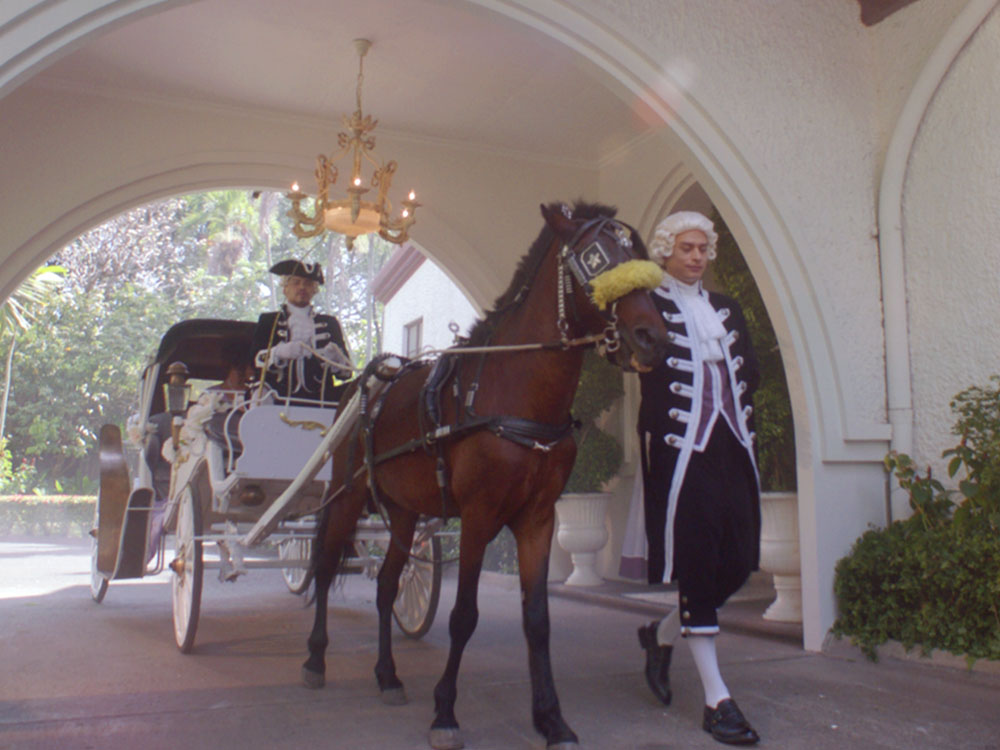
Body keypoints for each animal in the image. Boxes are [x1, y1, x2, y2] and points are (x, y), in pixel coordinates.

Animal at [300, 201, 668, 750]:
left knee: (386, 585)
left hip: (404, 511)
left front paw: (551, 718)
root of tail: (363, 386)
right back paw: (316, 658)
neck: (516, 397)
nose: (653, 337)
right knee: (325, 569)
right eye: (595, 257)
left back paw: (387, 675)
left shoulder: (538, 520)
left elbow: (537, 620)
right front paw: (445, 712)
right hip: (347, 497)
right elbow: (463, 616)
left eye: (640, 253)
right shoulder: (477, 516)